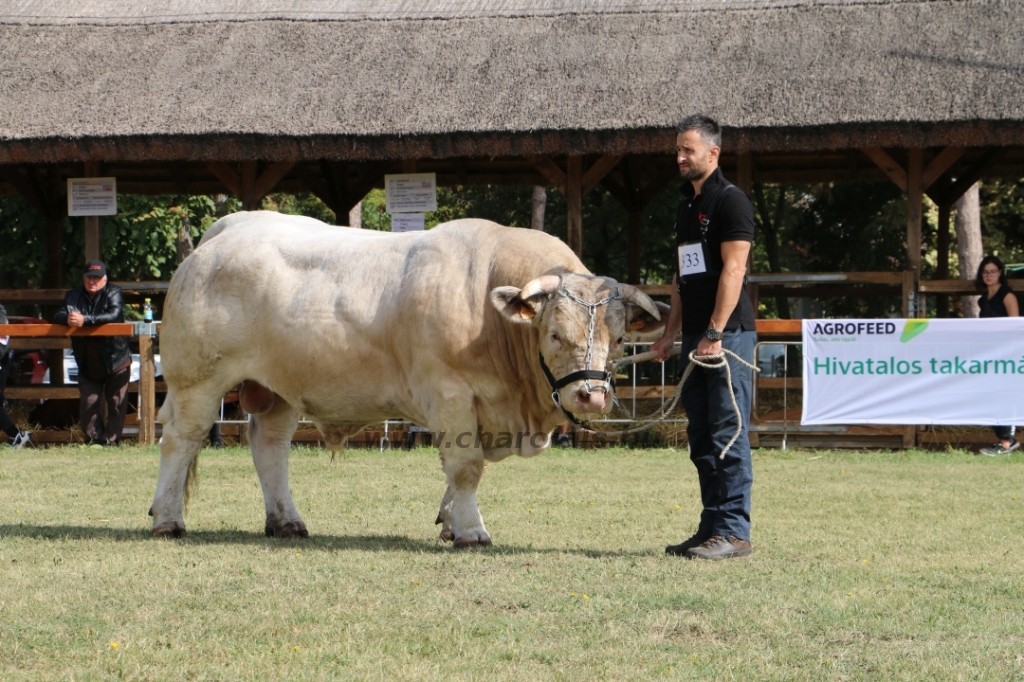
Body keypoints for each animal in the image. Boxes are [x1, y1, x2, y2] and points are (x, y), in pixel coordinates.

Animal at [149, 209, 663, 544]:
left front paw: (451, 520)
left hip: (279, 388)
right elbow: (467, 465)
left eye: (620, 339)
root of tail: (227, 231)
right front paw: (472, 531)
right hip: (197, 379)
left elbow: (463, 469)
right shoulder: (450, 394)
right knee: (182, 438)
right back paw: (168, 520)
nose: (591, 397)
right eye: (555, 334)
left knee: (270, 446)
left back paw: (286, 522)